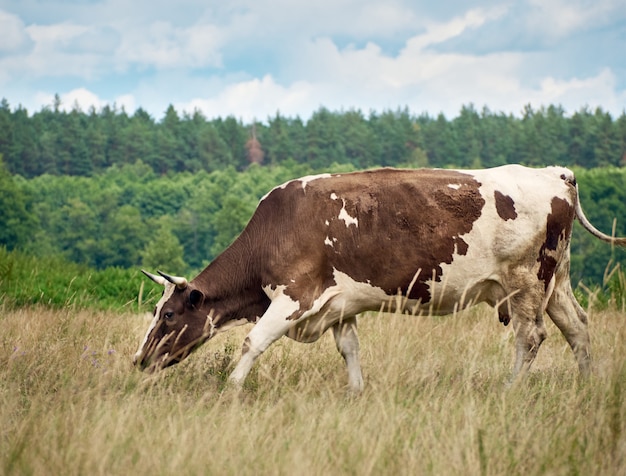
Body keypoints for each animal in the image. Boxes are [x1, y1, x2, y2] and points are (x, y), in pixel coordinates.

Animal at [133, 165, 624, 392]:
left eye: (169, 314)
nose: (140, 360)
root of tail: (554, 174)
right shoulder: (338, 304)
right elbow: (349, 348)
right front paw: (356, 390)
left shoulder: (294, 297)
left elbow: (252, 342)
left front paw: (232, 388)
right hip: (555, 282)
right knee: (577, 328)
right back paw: (587, 382)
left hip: (526, 281)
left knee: (532, 336)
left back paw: (511, 387)